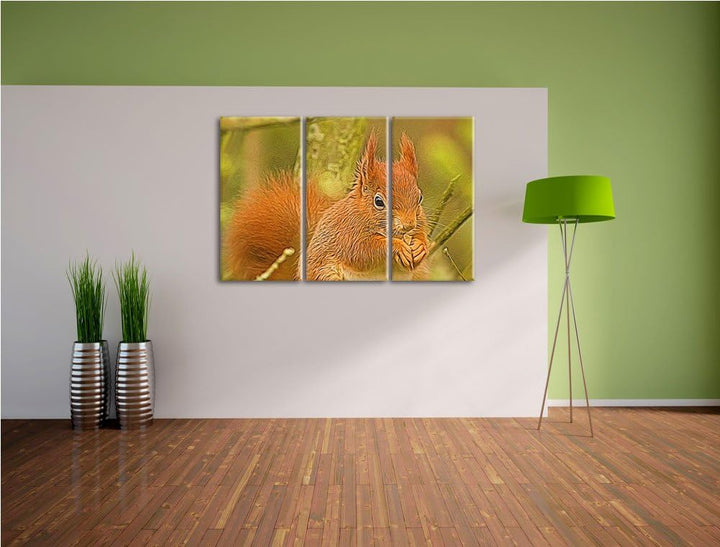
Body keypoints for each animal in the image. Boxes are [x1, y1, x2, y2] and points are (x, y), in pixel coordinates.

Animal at [223, 132, 429, 281]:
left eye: (419, 197)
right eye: (379, 201)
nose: (409, 224)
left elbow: (421, 235)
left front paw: (420, 246)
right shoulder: (348, 234)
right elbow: (362, 251)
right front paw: (397, 246)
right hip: (326, 274)